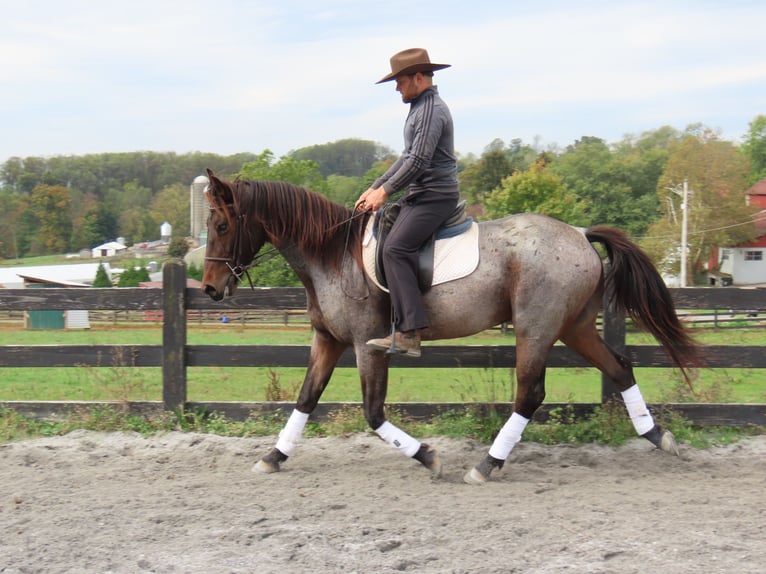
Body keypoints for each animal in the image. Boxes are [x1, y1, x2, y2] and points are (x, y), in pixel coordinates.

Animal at [201, 169, 699, 484]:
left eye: (222, 225)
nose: (208, 288)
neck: (331, 254)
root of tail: (578, 233)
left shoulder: (366, 345)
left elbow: (373, 412)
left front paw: (428, 457)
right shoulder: (328, 341)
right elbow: (305, 399)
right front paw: (273, 457)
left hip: (536, 328)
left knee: (530, 393)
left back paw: (487, 465)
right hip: (573, 326)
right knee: (619, 368)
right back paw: (659, 437)